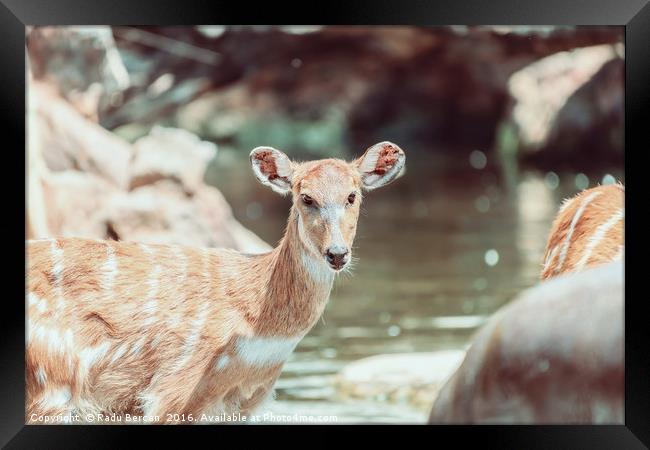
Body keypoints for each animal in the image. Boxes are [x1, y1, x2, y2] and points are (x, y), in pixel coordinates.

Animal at [26, 142, 404, 424]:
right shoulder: (172, 390)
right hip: (51, 378)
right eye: (305, 197)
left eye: (353, 196)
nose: (337, 253)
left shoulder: (245, 403)